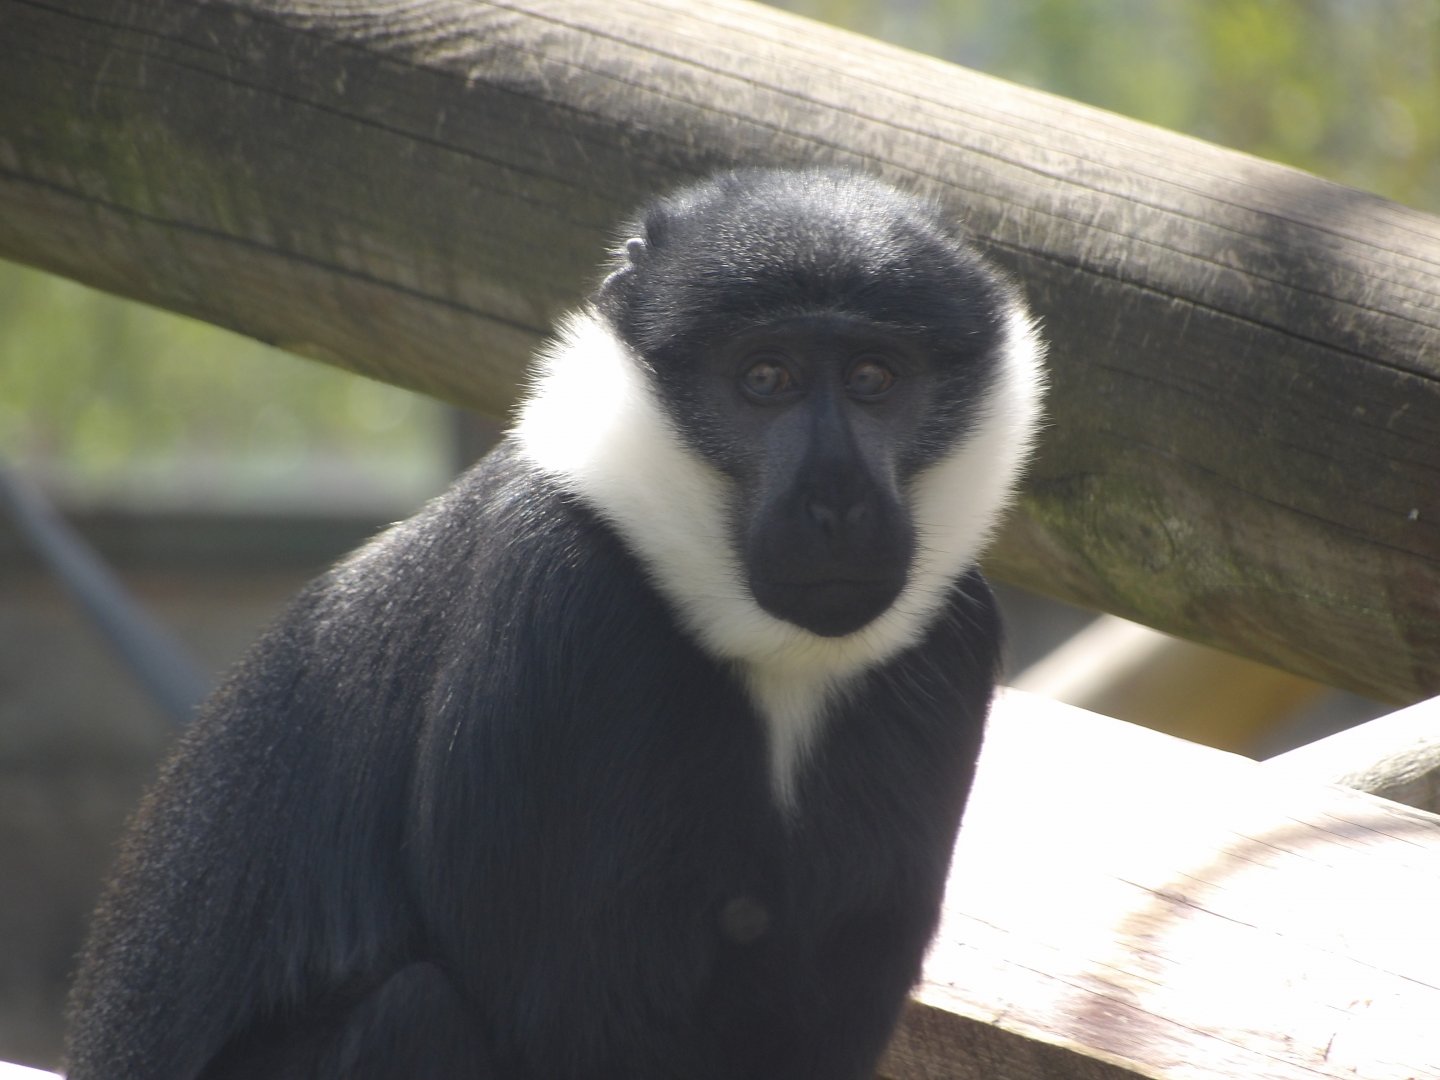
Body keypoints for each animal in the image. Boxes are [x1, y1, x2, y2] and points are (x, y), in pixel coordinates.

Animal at [64, 168, 1045, 1079]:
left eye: (875, 379)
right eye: (767, 378)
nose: (837, 501)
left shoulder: (952, 637)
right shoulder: (563, 608)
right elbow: (565, 1016)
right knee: (416, 1012)